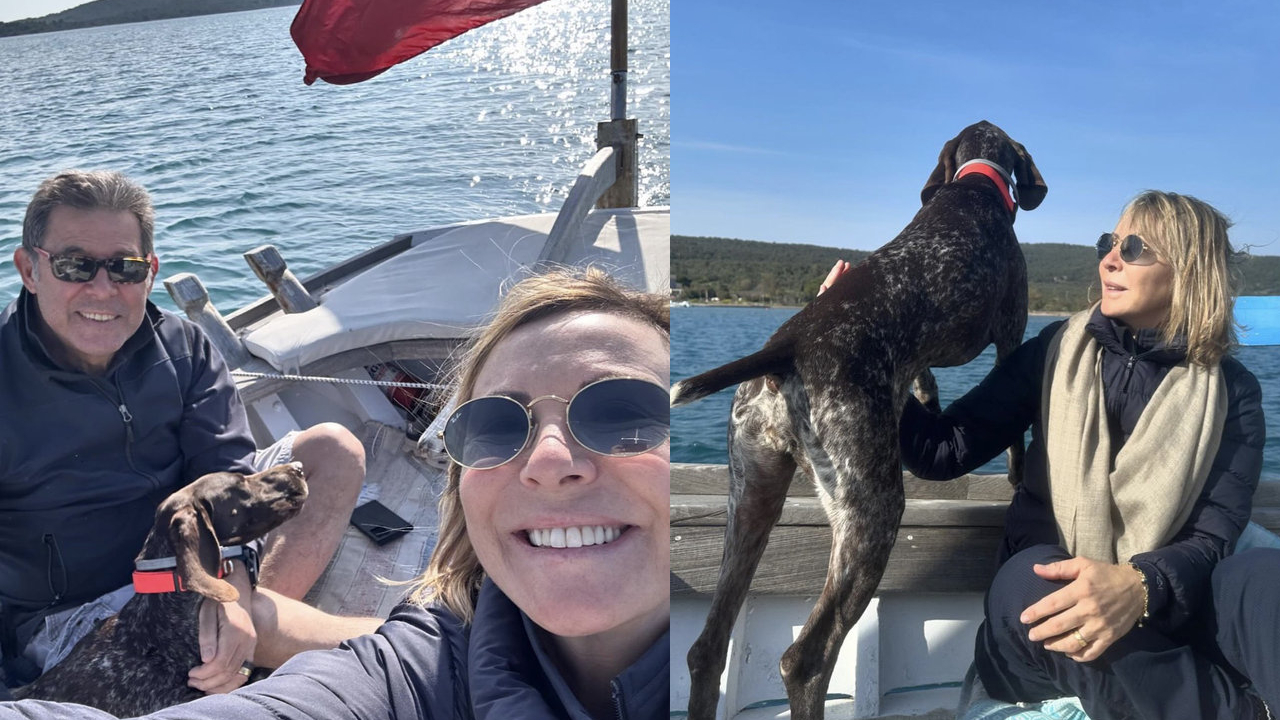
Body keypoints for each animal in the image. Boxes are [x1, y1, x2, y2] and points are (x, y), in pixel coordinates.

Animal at [673, 121, 1046, 719]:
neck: (974, 186)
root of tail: (785, 348)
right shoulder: (1011, 333)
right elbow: (1015, 434)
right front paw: (1015, 477)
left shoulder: (917, 364)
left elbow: (929, 392)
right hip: (871, 512)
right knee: (805, 658)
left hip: (751, 498)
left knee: (706, 649)